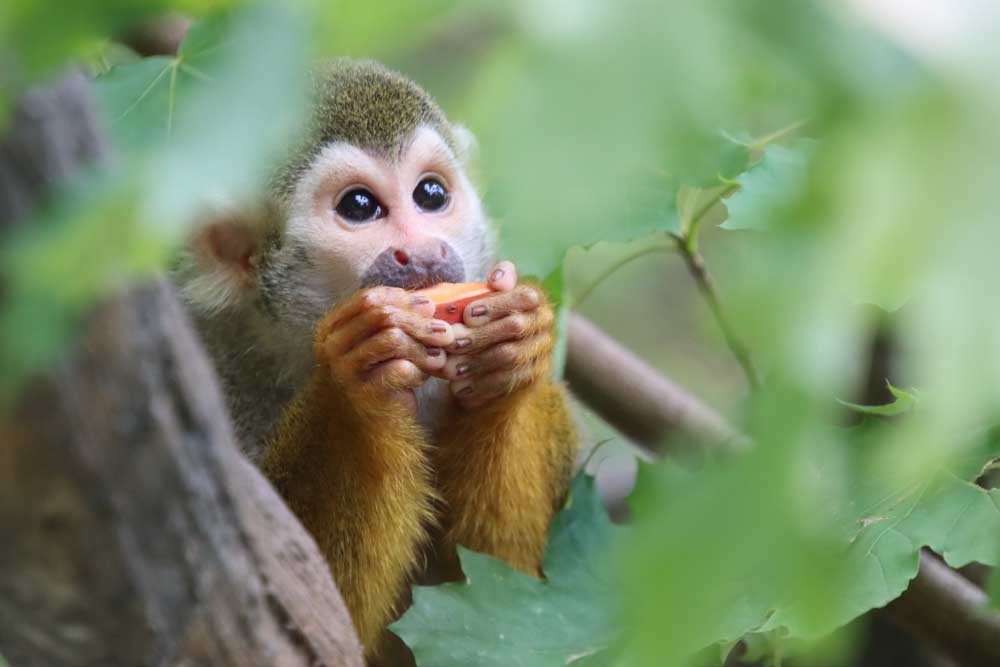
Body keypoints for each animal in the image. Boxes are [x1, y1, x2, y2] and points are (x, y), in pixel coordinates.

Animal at [174, 59, 578, 659]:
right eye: (359, 207)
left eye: (430, 194)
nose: (425, 253)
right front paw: (357, 388)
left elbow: (497, 584)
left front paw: (507, 360)